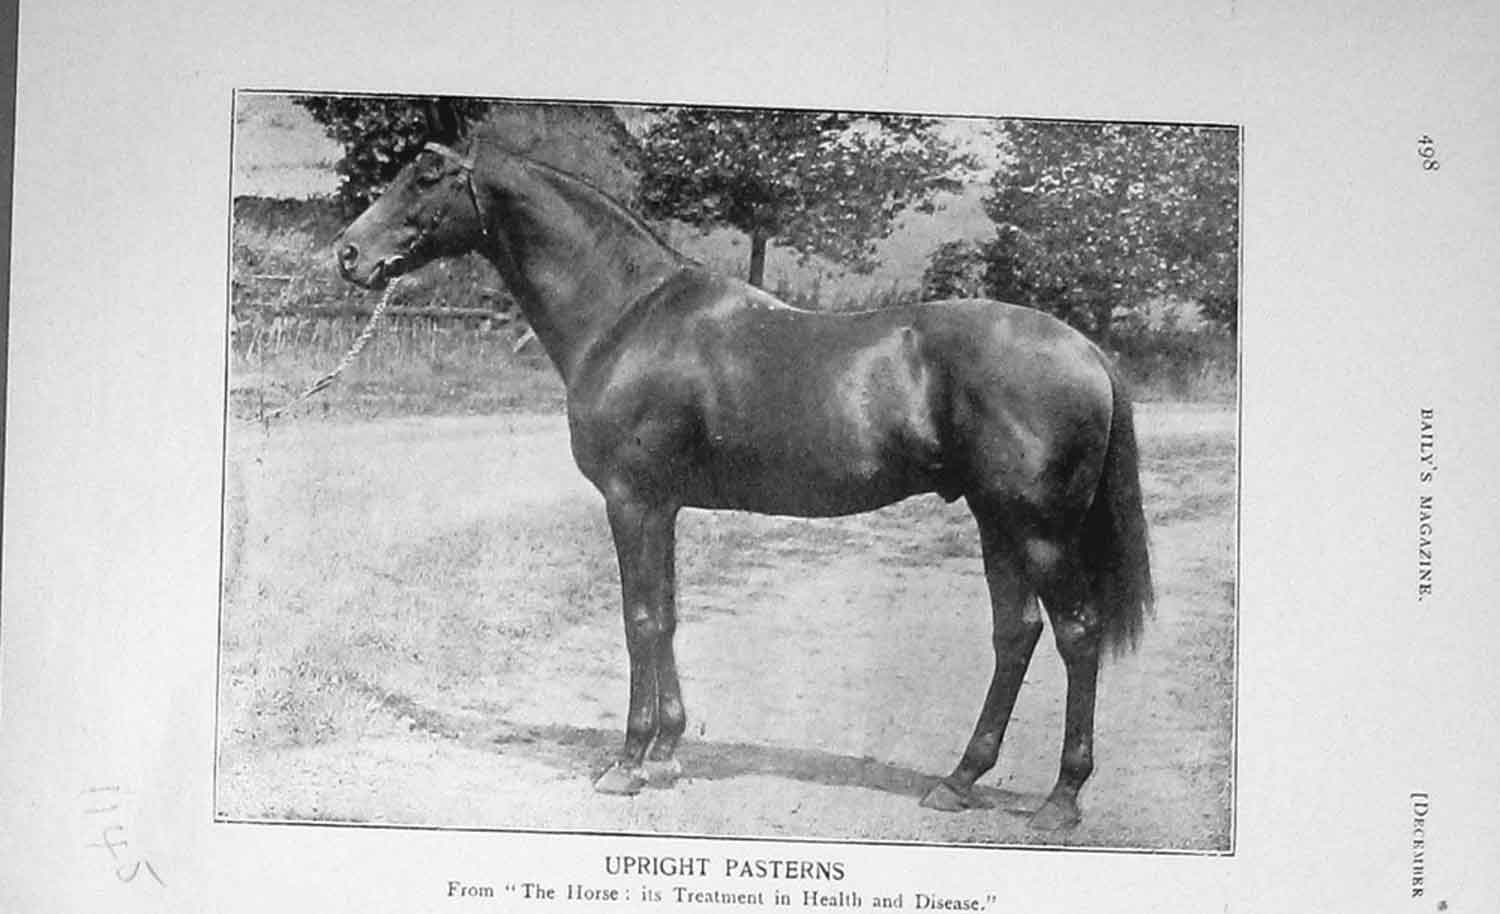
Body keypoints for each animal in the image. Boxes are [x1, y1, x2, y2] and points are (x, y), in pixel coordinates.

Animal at [332, 118, 1152, 831]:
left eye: (425, 178)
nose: (347, 254)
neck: (627, 316)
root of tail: (1085, 349)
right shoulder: (661, 508)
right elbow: (665, 617)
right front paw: (667, 751)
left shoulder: (632, 503)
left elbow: (638, 621)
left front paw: (627, 763)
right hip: (995, 521)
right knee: (1016, 634)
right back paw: (959, 781)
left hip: (1039, 529)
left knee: (1077, 634)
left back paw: (1061, 799)